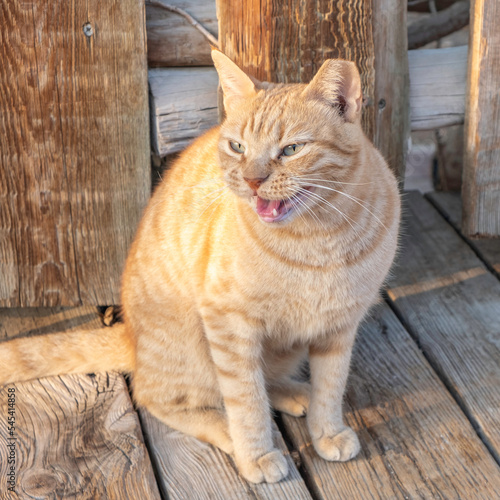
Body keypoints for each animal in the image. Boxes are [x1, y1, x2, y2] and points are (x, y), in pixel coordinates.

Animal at [0, 51, 400, 484]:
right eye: (238, 147)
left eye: (291, 149)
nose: (252, 180)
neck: (317, 240)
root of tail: (132, 337)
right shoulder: (229, 324)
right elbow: (245, 400)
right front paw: (255, 454)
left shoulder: (339, 326)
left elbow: (330, 386)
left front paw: (326, 431)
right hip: (191, 349)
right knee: (158, 396)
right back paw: (229, 433)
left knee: (265, 379)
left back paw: (294, 393)